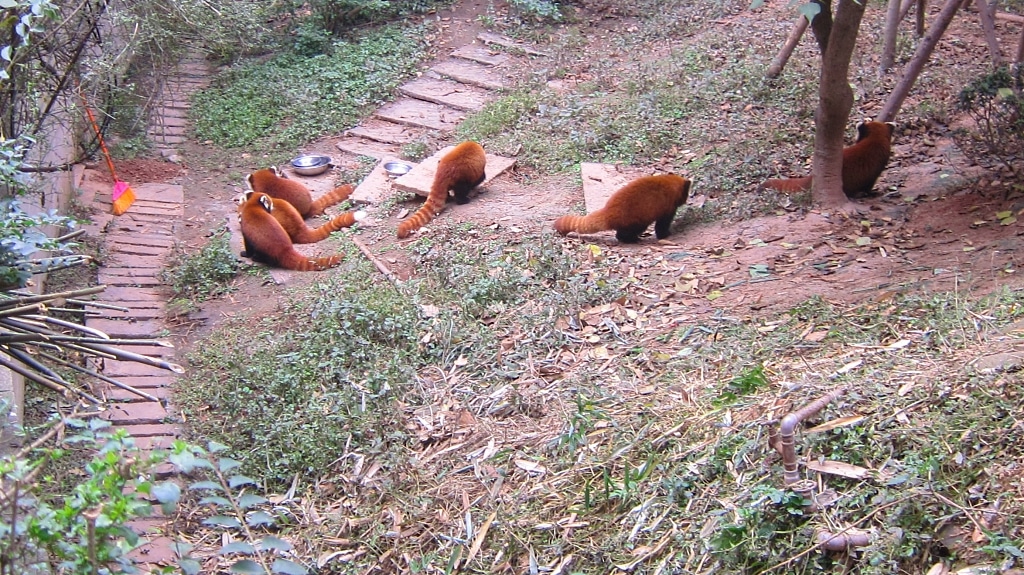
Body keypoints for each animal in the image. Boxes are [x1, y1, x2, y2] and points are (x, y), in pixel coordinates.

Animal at [557, 170, 692, 240]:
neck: (670, 183)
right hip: (635, 219)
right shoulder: (667, 207)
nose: (687, 201)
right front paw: (665, 234)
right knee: (627, 231)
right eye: (686, 194)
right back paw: (631, 239)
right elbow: (662, 225)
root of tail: (608, 212)